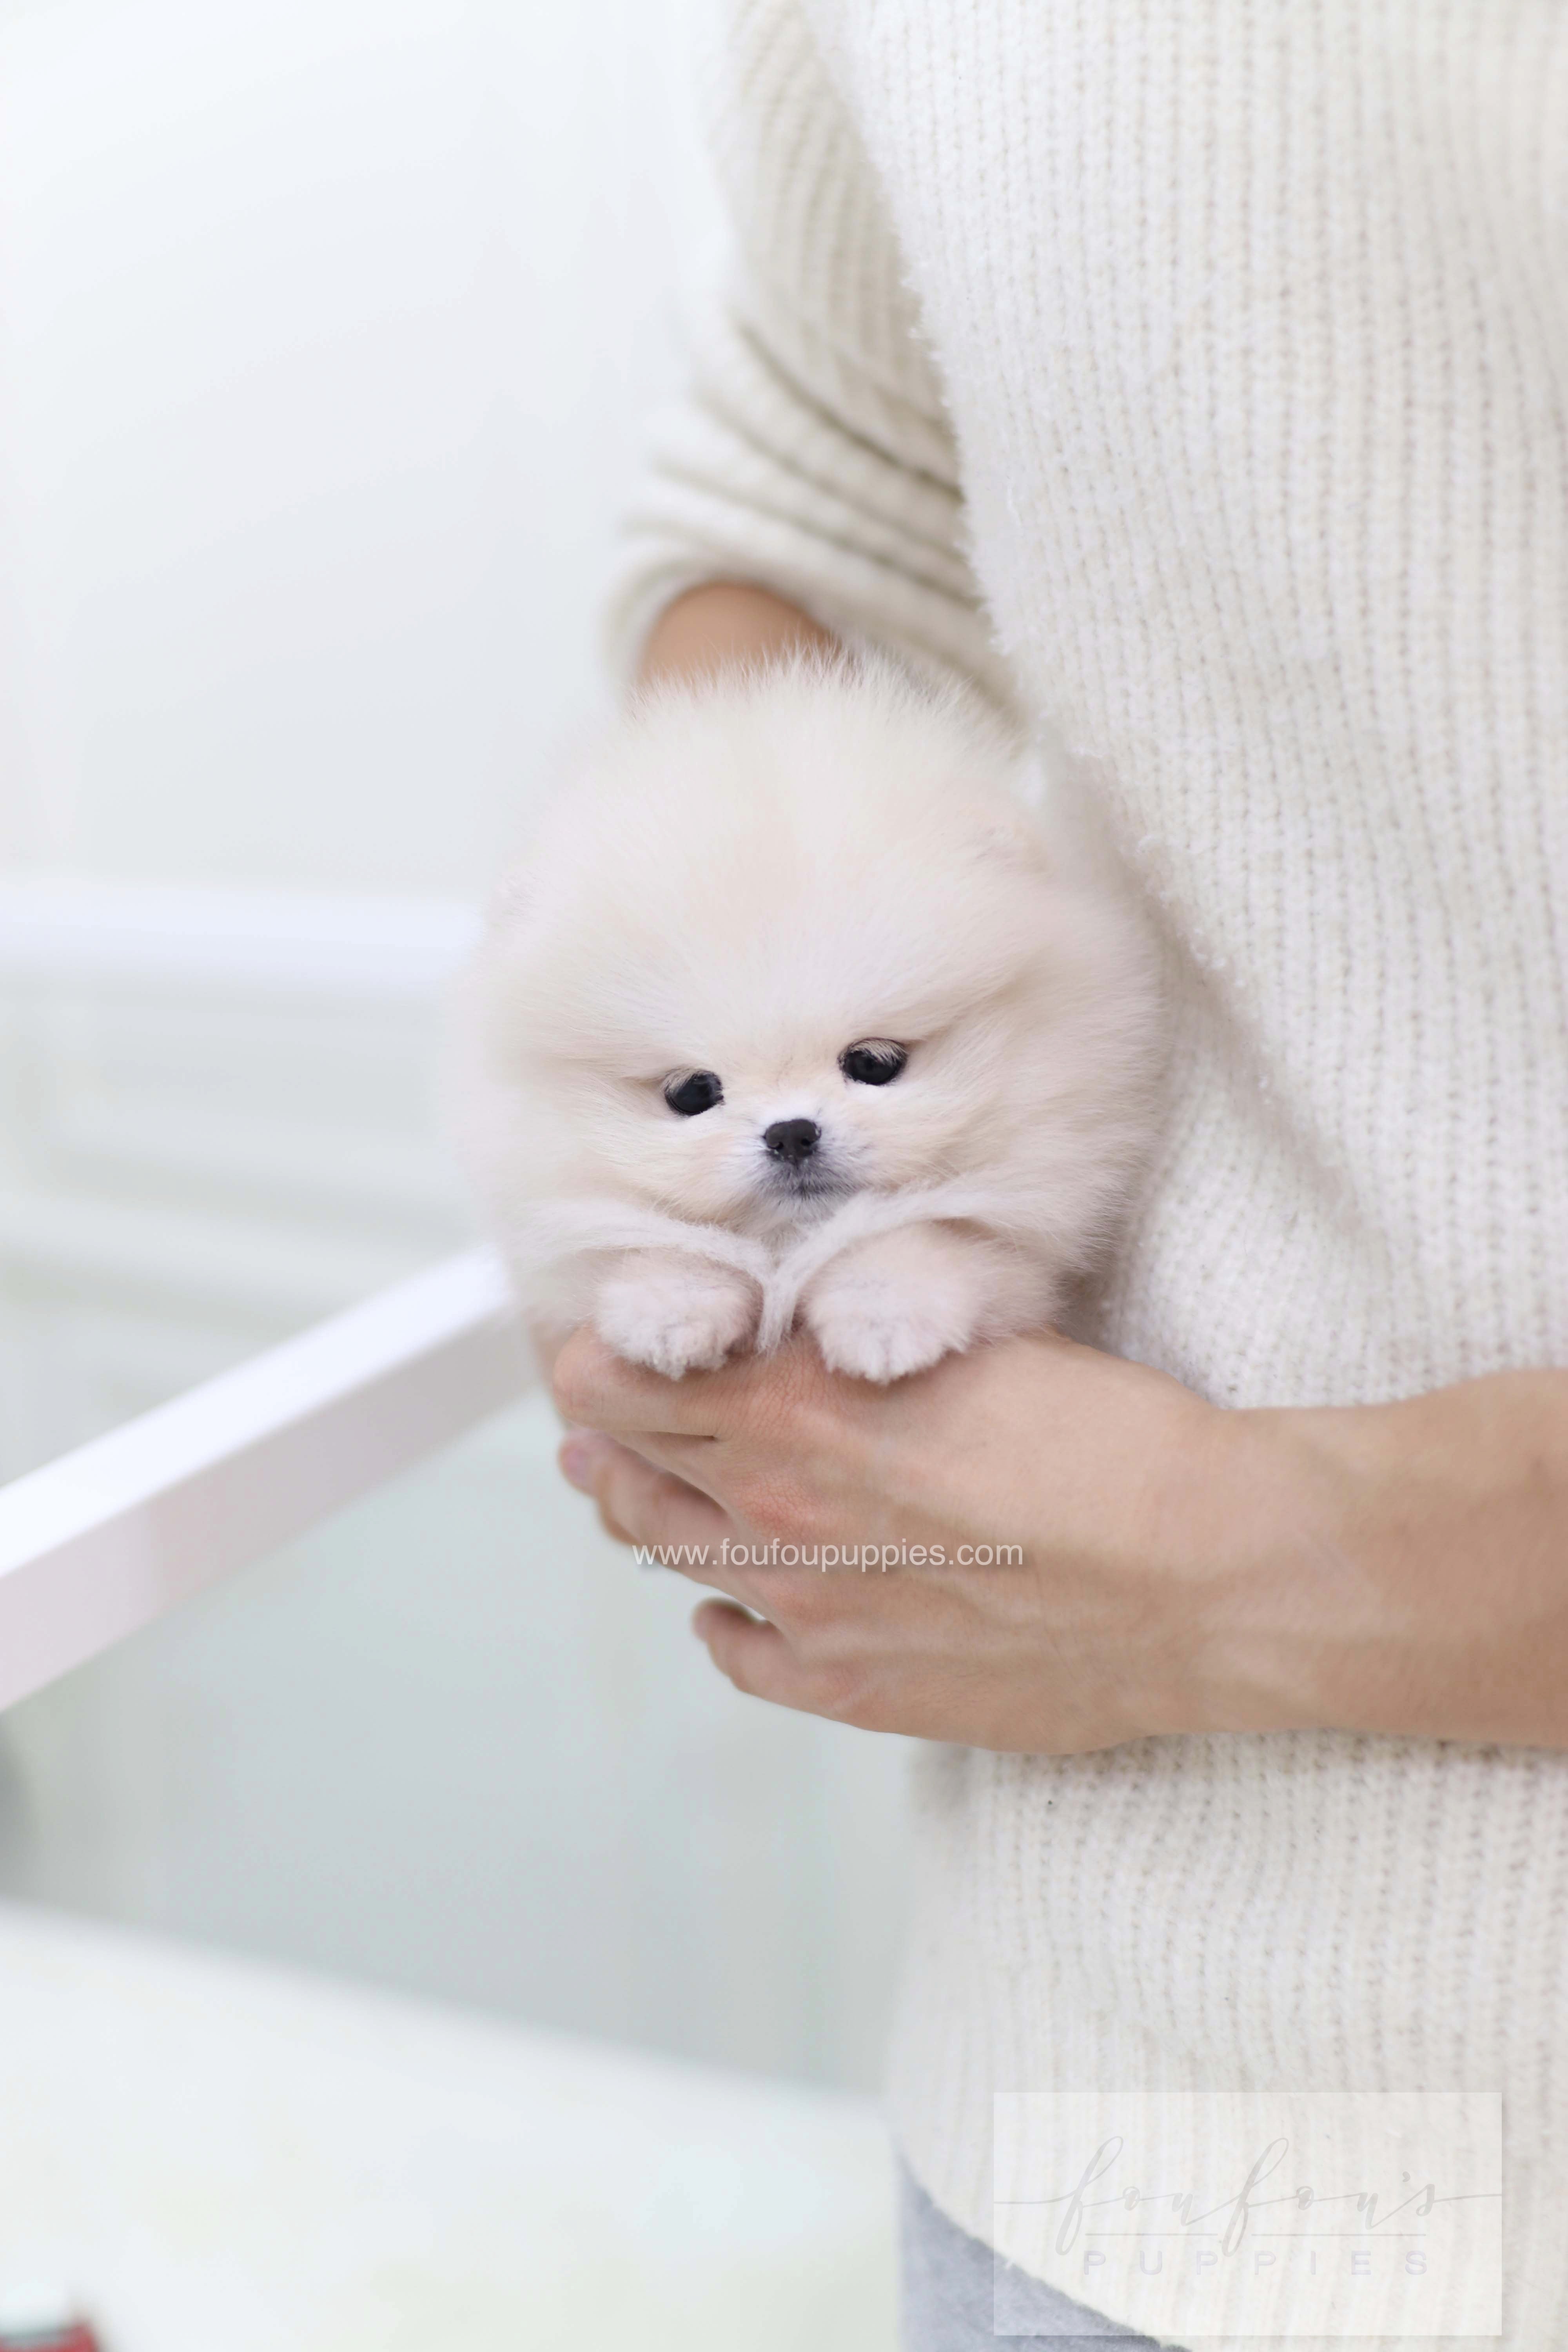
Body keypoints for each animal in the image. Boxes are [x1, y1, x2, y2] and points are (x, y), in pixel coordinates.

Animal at [454, 649, 1166, 1374]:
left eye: (874, 1063)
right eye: (691, 1093)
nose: (791, 1133)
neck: (791, 1242)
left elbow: (933, 1234)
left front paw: (887, 1310)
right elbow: (662, 1238)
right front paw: (672, 1307)